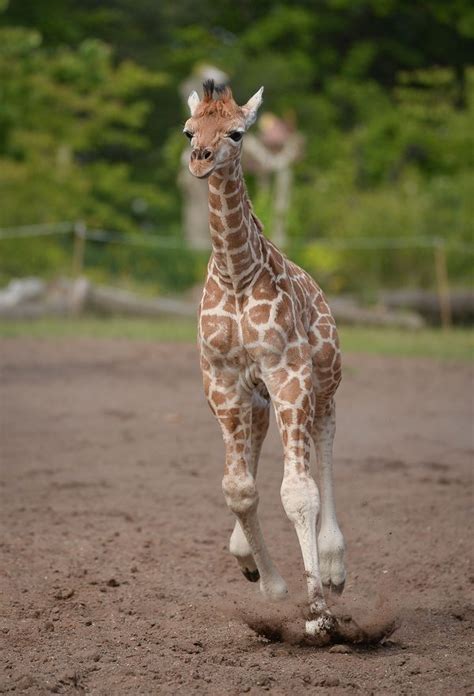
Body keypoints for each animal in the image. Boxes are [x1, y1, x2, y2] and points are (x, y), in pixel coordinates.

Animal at [182, 80, 344, 636]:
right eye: (189, 130)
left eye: (236, 132)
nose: (200, 160)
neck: (236, 273)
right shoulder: (223, 379)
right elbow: (239, 489)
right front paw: (272, 584)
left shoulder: (288, 373)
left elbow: (297, 491)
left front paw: (318, 614)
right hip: (255, 397)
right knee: (255, 446)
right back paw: (248, 557)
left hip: (324, 381)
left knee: (323, 443)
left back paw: (334, 566)